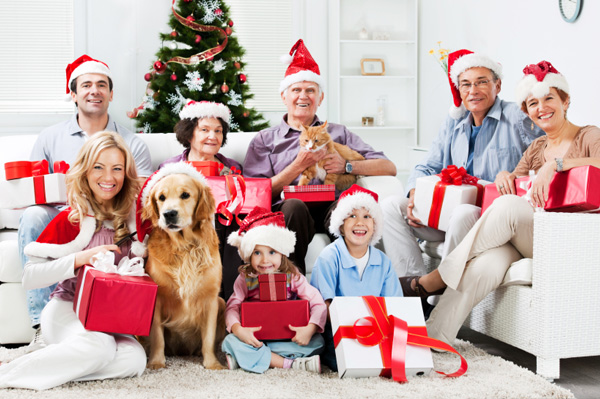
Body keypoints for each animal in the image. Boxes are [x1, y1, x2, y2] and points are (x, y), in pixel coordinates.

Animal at [141, 172, 227, 372]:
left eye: (185, 195)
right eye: (161, 197)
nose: (169, 214)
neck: (184, 247)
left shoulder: (211, 299)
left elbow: (208, 338)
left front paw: (213, 364)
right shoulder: (157, 300)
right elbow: (158, 337)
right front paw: (156, 362)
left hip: (222, 302)